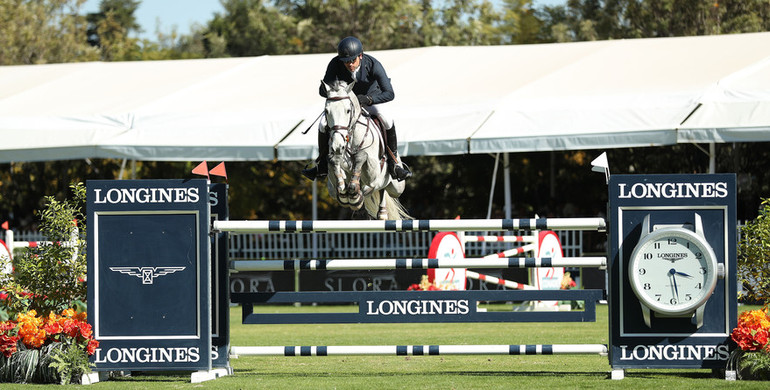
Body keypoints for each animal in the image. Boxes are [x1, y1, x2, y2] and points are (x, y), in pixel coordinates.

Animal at [320, 80, 412, 219]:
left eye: (348, 110)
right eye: (326, 111)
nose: (338, 146)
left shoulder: (373, 171)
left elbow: (362, 156)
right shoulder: (332, 179)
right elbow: (335, 165)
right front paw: (346, 189)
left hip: (397, 187)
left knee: (382, 187)